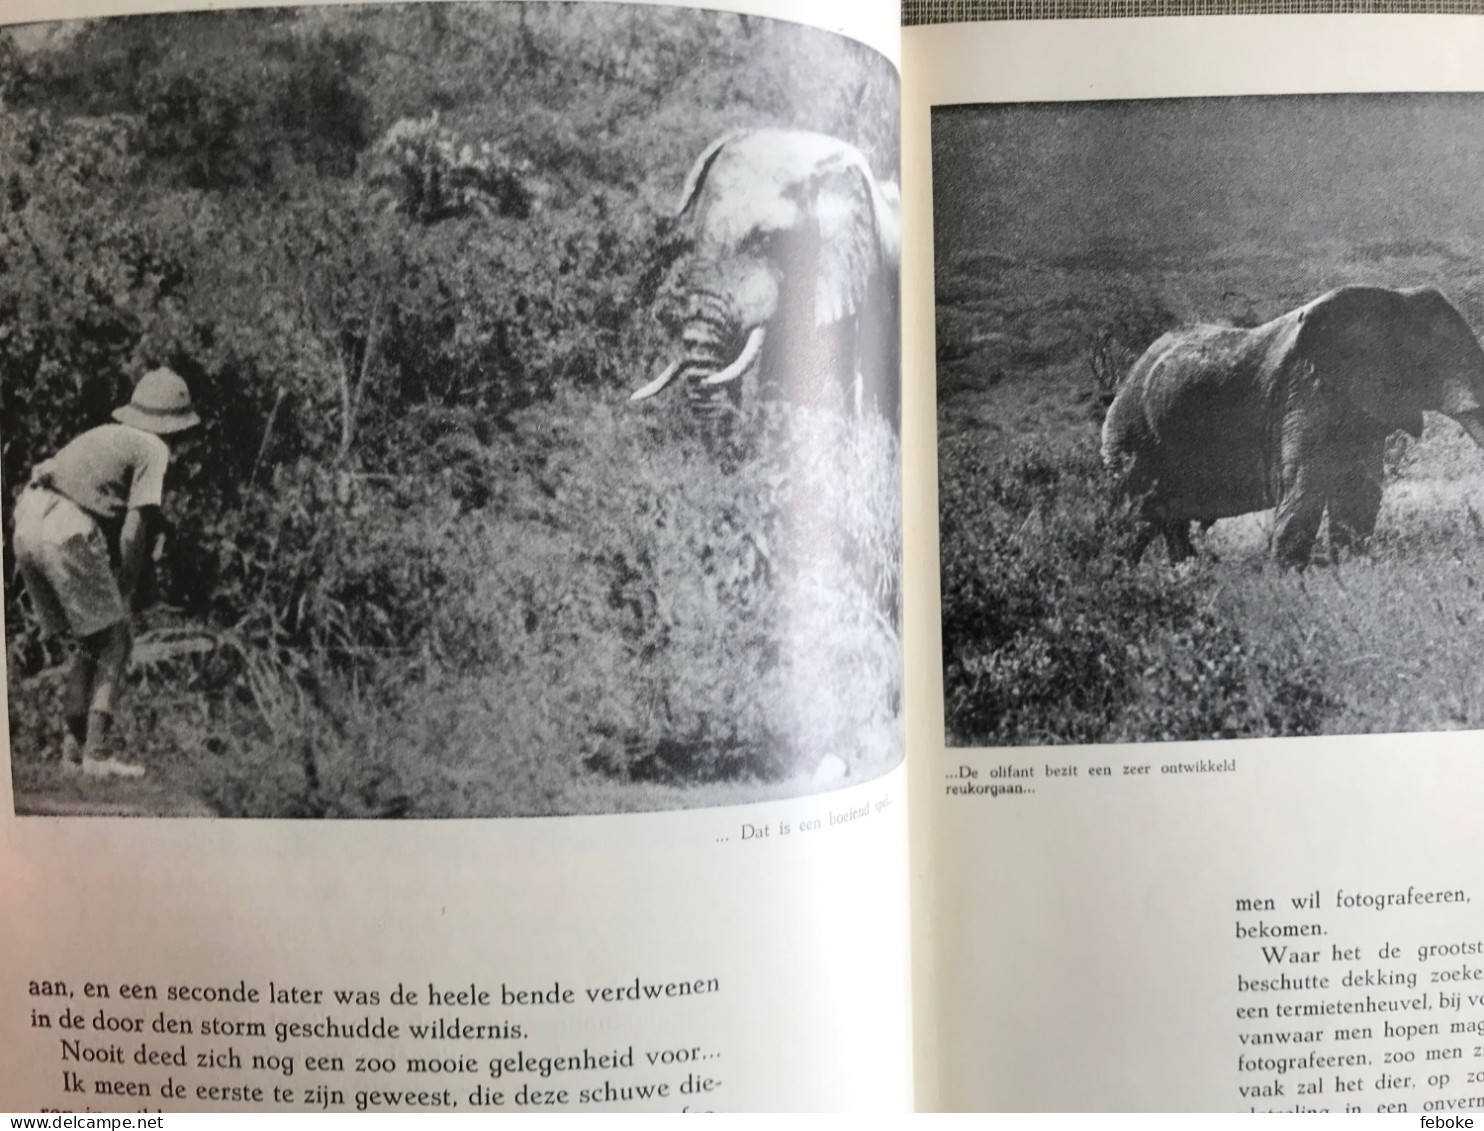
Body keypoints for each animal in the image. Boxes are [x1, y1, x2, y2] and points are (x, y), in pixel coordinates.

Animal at [1104, 282, 1484, 564]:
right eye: (1434, 357)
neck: (1391, 297)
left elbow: (1358, 491)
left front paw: (1350, 569)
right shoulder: (1304, 389)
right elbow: (1306, 487)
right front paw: (1289, 582)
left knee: (1169, 526)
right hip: (1132, 439)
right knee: (1136, 521)